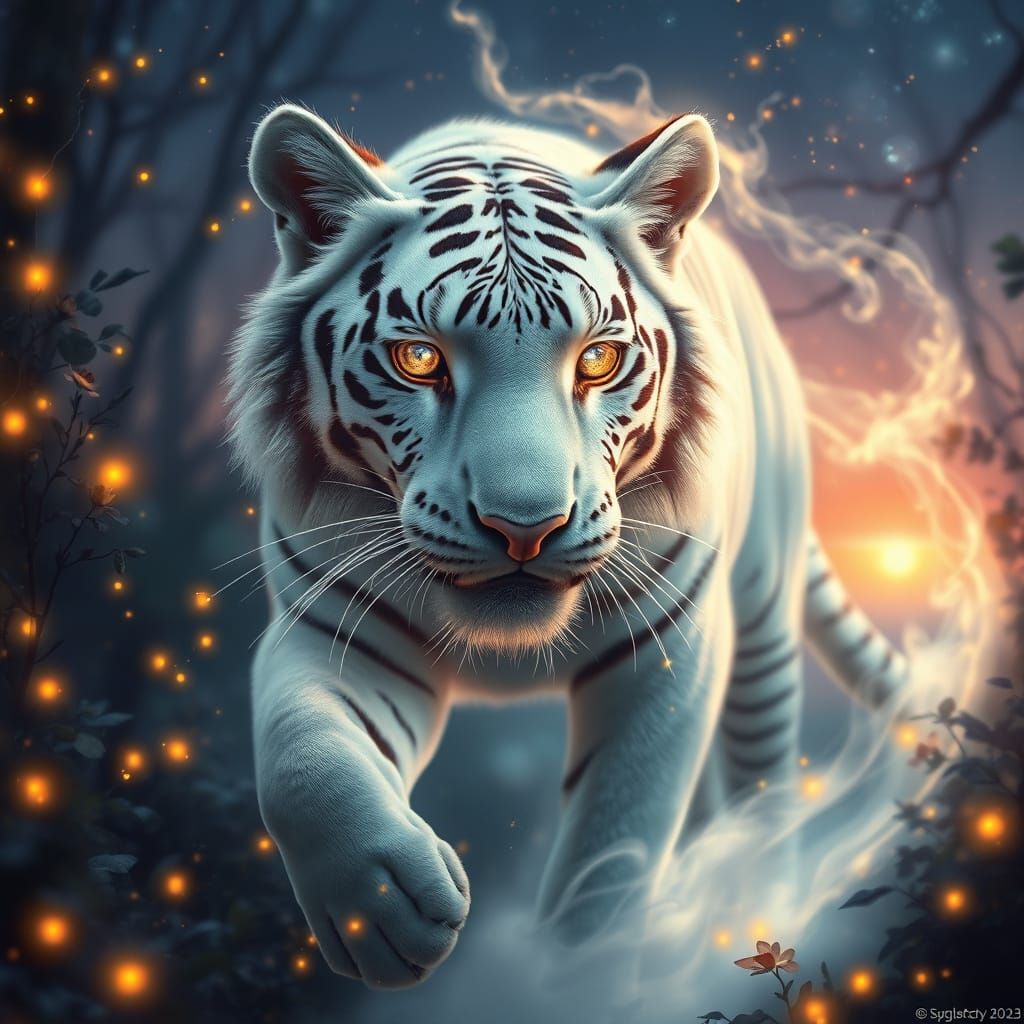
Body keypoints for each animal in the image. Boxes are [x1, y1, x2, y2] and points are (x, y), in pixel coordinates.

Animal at [227, 103, 908, 989]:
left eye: (599, 358)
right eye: (420, 358)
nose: (526, 525)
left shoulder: (671, 650)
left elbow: (611, 851)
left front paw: (579, 974)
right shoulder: (334, 622)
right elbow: (300, 754)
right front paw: (381, 909)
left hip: (761, 616)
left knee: (760, 773)